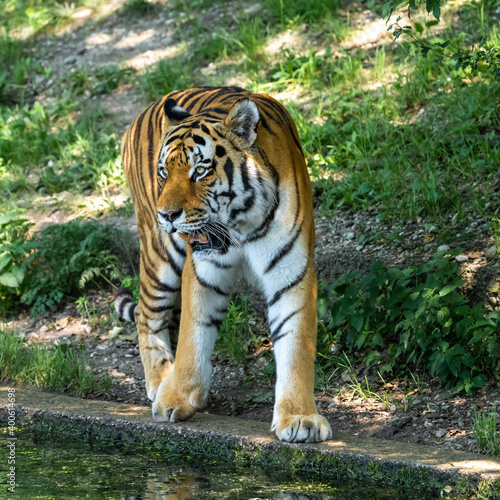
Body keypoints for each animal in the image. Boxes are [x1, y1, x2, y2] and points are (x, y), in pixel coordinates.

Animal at [114, 86, 332, 442]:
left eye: (200, 171)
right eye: (164, 173)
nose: (166, 215)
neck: (241, 224)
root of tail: (143, 111)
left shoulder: (291, 274)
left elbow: (295, 345)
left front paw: (300, 418)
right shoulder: (203, 270)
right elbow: (193, 334)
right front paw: (176, 397)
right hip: (161, 255)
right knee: (147, 313)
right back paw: (161, 381)